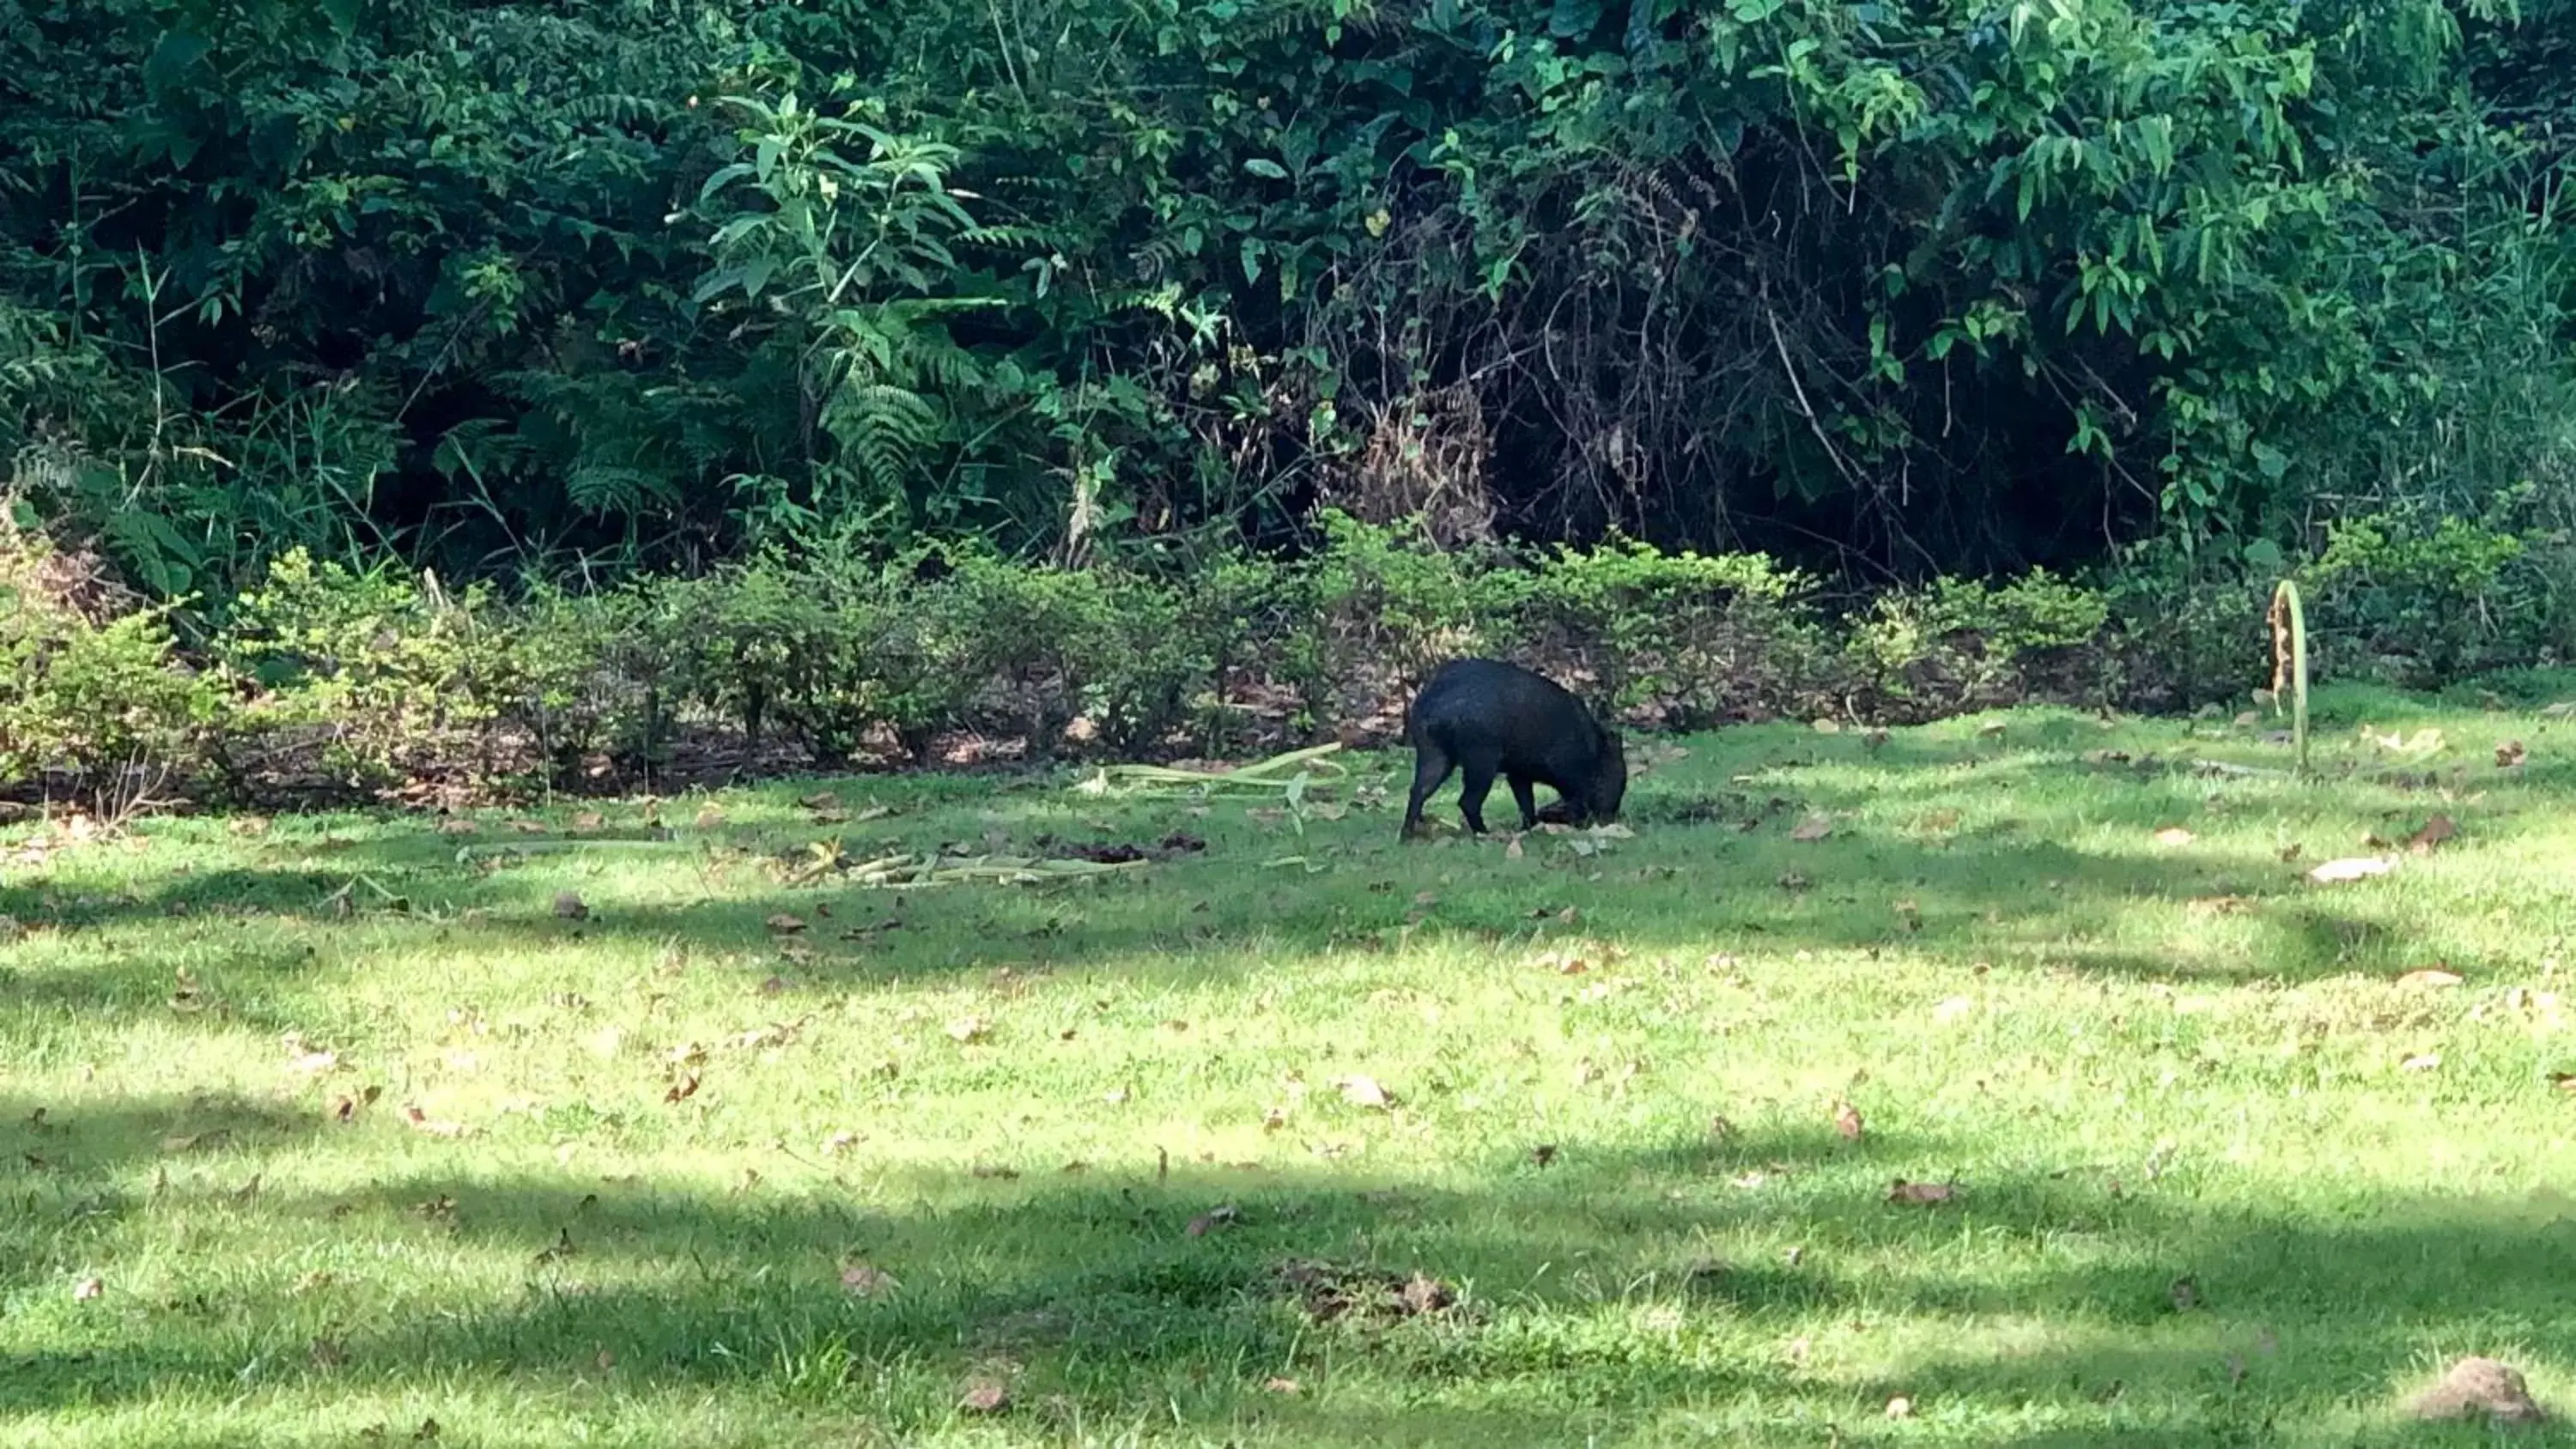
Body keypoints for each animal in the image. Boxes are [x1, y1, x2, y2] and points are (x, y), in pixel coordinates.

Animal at [1401, 658, 1618, 839]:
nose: (1608, 819)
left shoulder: (1518, 774)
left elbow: (1526, 803)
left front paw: (1530, 829)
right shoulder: (1568, 774)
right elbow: (1573, 801)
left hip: (1435, 754)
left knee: (1418, 791)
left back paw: (1407, 836)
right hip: (1481, 761)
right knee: (1467, 802)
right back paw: (1485, 834)